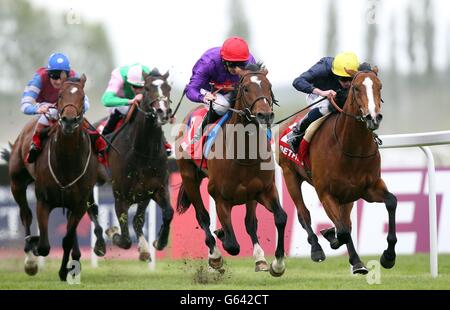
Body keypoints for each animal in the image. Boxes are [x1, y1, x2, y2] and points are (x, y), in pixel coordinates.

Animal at [4, 74, 98, 280]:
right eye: (60, 95)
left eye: (82, 96)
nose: (69, 120)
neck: (67, 162)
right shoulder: (43, 201)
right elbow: (44, 246)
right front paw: (34, 246)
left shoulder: (79, 204)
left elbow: (67, 238)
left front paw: (64, 271)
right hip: (17, 182)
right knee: (25, 214)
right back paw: (30, 256)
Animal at [104, 69, 174, 260]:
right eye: (147, 88)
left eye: (168, 88)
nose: (162, 111)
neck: (144, 153)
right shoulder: (120, 195)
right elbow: (126, 239)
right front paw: (113, 232)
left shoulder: (155, 189)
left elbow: (167, 213)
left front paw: (159, 242)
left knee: (137, 220)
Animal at [177, 63, 286, 276]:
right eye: (246, 88)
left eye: (269, 86)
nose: (265, 115)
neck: (243, 154)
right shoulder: (220, 198)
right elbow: (232, 245)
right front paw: (220, 239)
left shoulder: (265, 190)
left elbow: (280, 218)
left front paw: (277, 264)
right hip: (189, 177)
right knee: (202, 216)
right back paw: (215, 255)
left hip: (250, 195)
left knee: (250, 223)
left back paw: (259, 258)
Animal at [278, 68, 398, 274]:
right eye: (356, 88)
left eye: (380, 86)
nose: (373, 118)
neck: (351, 148)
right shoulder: (325, 192)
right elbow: (342, 231)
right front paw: (329, 235)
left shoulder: (369, 188)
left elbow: (391, 201)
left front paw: (388, 257)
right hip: (289, 175)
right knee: (304, 214)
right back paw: (317, 249)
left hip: (348, 195)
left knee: (345, 221)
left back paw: (356, 262)